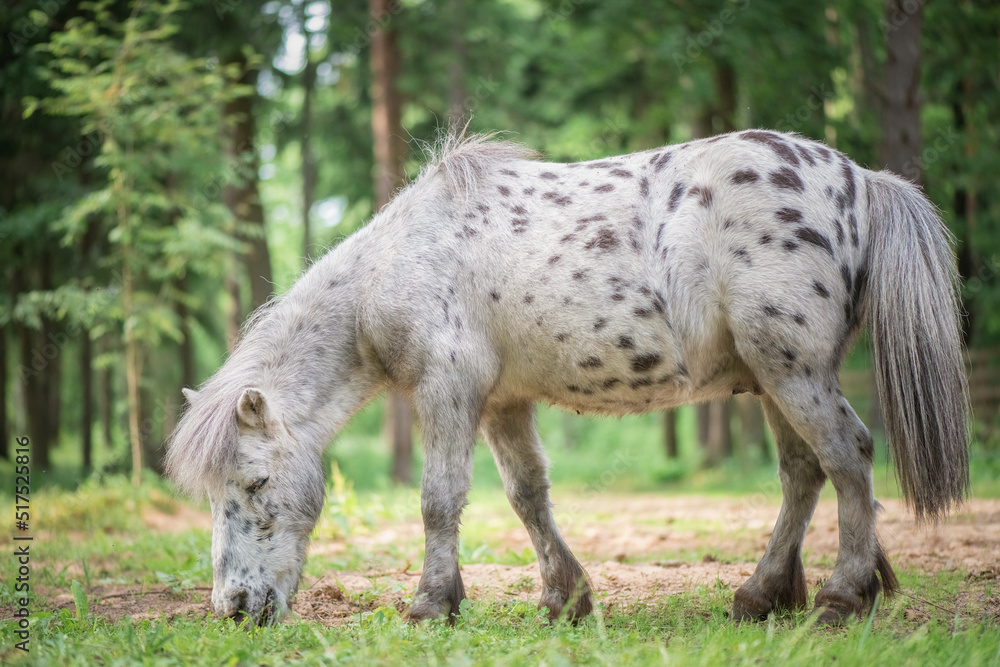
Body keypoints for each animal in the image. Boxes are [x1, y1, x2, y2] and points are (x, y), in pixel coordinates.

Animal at [166, 130, 969, 628]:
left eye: (255, 483)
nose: (234, 606)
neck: (397, 263)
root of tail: (861, 181)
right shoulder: (503, 402)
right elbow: (528, 495)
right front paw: (565, 597)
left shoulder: (447, 391)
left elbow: (438, 500)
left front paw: (431, 603)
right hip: (773, 380)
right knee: (803, 474)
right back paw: (760, 596)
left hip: (793, 371)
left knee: (848, 456)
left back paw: (843, 596)